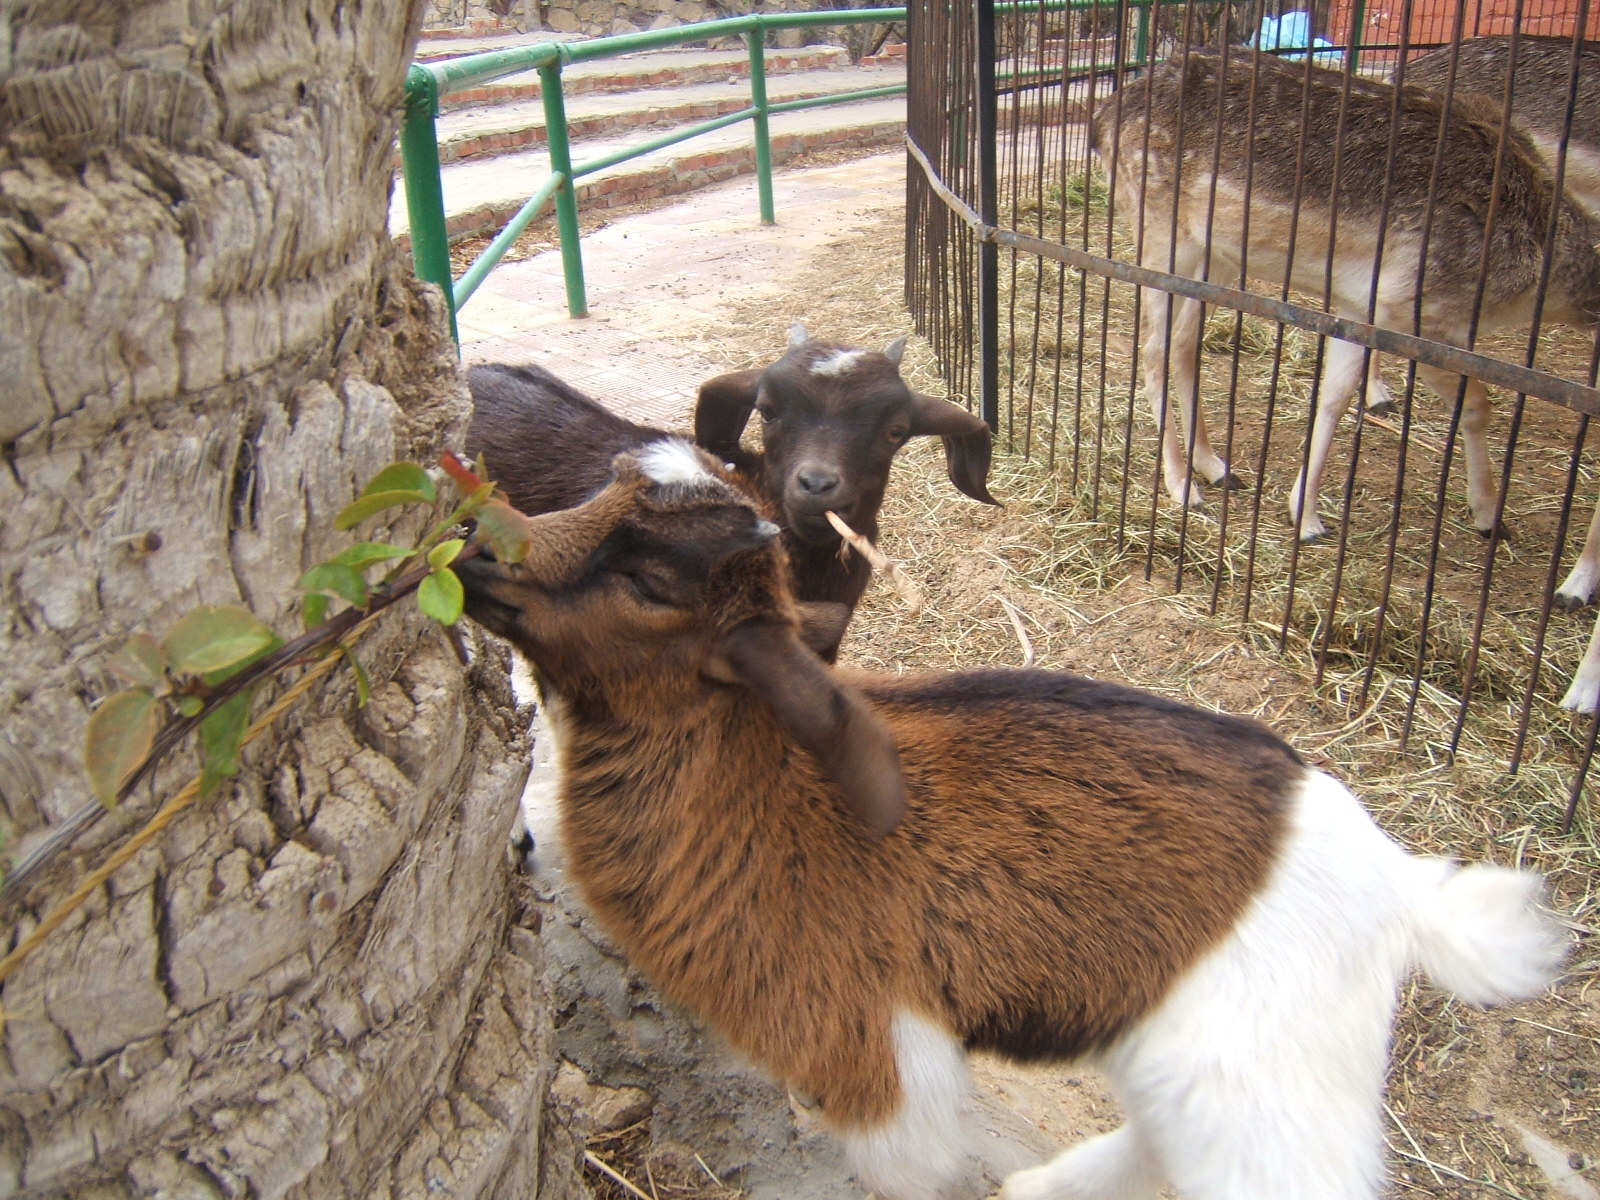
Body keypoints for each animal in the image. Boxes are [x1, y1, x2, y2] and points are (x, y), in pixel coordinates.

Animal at [458, 440, 1568, 1200]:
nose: (471, 550)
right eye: (603, 486)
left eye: (650, 582)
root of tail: (1398, 882)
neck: (761, 795)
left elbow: (899, 1170)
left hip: (1271, 1089)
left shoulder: (876, 1060)